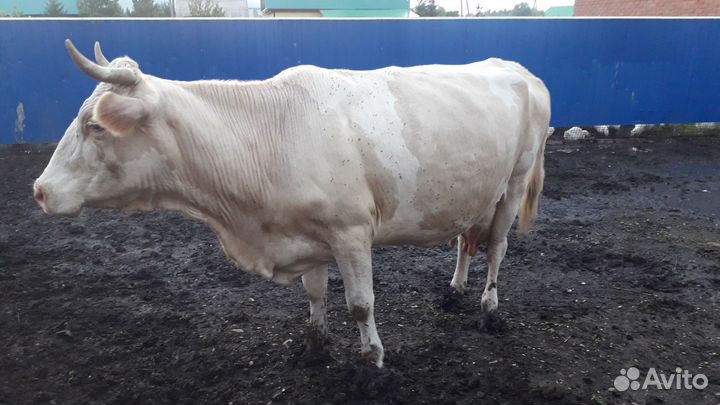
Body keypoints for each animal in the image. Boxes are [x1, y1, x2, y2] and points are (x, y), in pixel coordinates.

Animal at [34, 40, 551, 368]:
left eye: (94, 126)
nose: (40, 190)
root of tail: (520, 70)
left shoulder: (351, 231)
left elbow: (360, 304)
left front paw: (372, 359)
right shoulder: (307, 233)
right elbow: (315, 294)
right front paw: (314, 348)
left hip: (514, 182)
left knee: (497, 248)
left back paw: (489, 309)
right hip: (477, 190)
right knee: (467, 240)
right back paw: (455, 290)